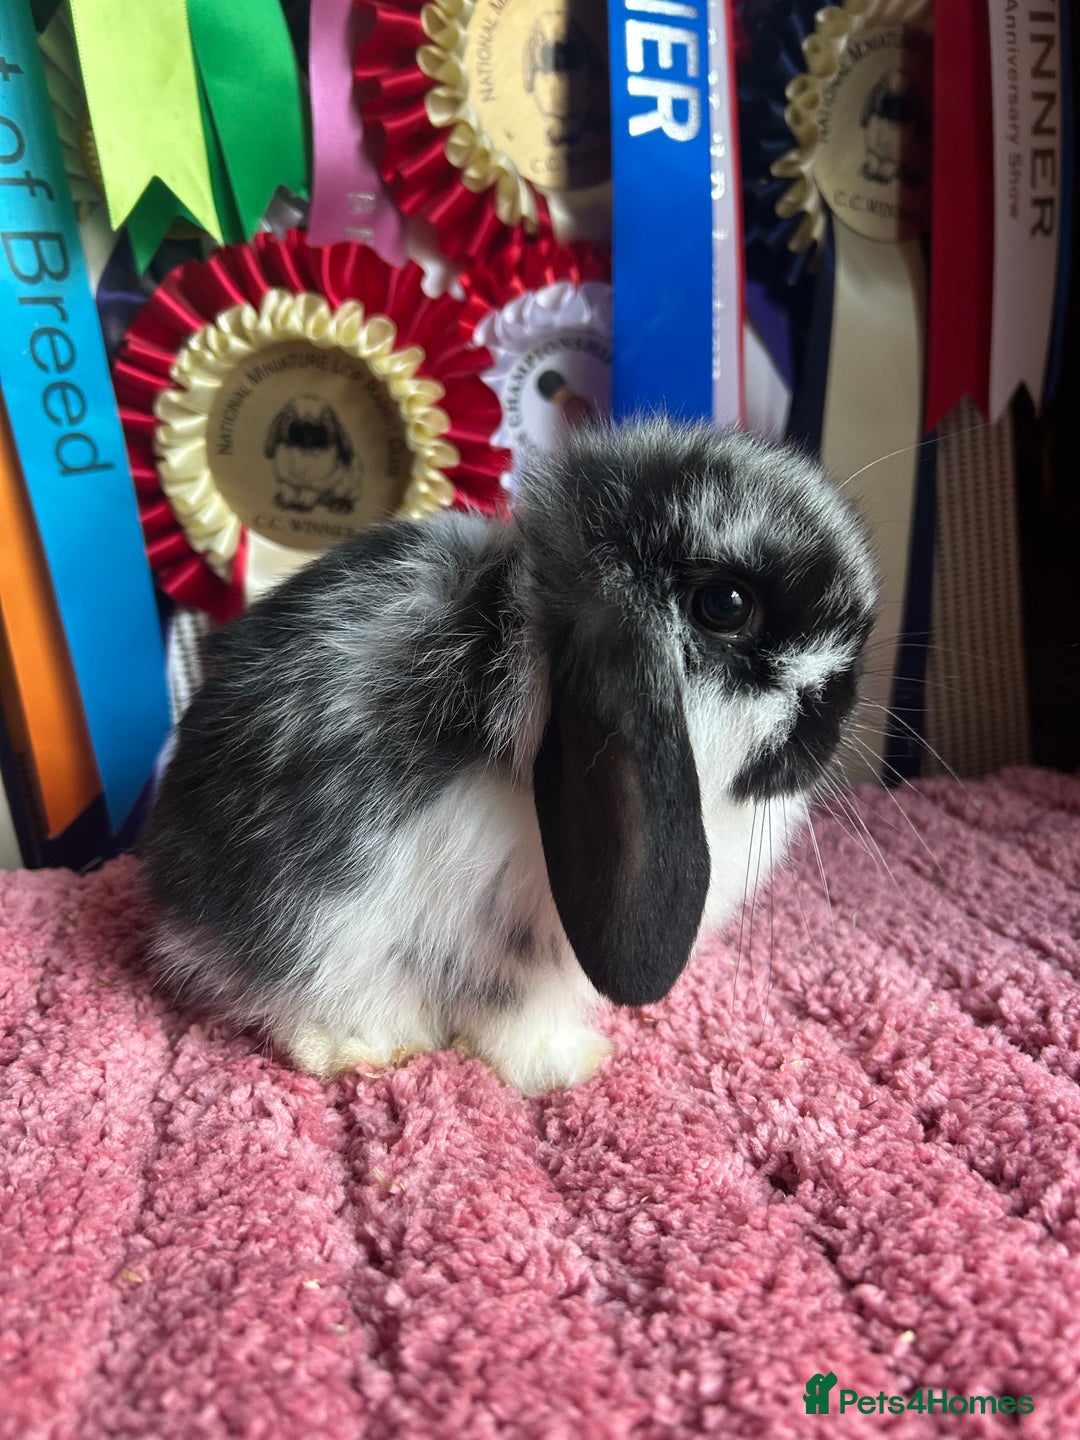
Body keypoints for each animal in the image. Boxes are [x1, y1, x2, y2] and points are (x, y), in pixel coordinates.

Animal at [140, 418, 878, 1095]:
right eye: (726, 605)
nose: (835, 716)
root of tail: (177, 914)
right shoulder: (519, 946)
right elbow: (517, 1015)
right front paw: (572, 1064)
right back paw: (362, 1050)